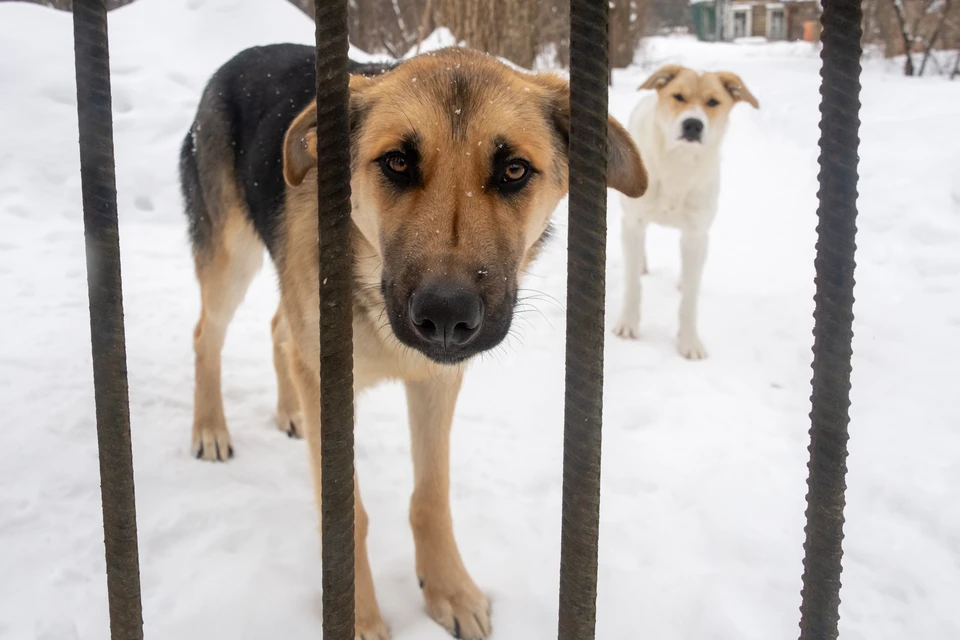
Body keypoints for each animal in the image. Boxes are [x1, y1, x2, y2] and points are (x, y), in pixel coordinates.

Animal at [179, 42, 648, 636]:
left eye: (514, 170)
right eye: (397, 163)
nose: (446, 315)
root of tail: (241, 57)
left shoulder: (436, 383)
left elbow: (432, 497)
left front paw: (449, 589)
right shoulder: (331, 382)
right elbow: (348, 515)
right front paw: (358, 617)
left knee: (278, 330)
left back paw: (288, 410)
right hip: (230, 260)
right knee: (206, 336)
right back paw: (210, 428)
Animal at [616, 64, 756, 360]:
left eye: (713, 102)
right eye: (678, 97)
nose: (693, 124)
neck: (678, 165)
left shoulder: (696, 234)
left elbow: (689, 300)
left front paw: (689, 341)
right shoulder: (633, 221)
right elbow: (633, 285)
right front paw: (628, 323)